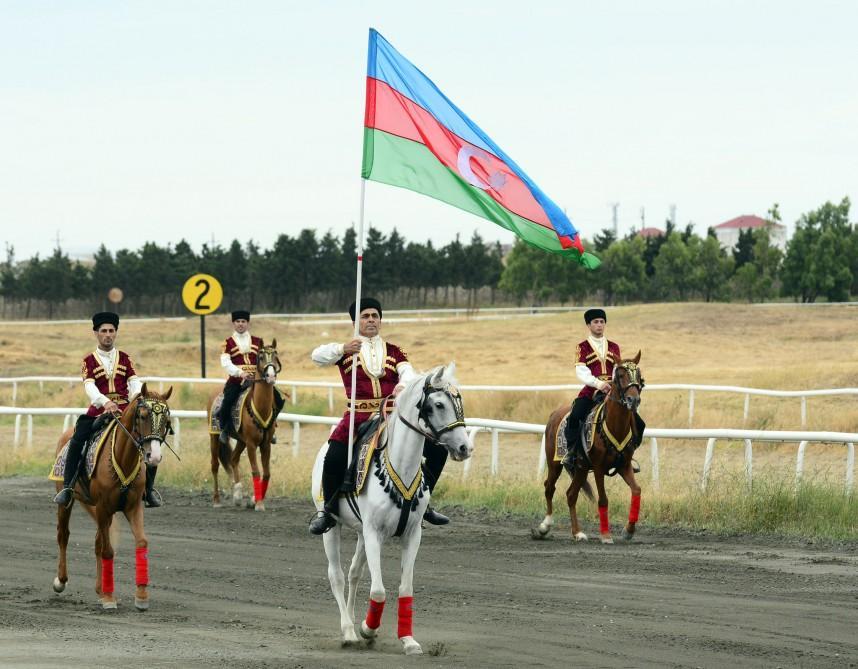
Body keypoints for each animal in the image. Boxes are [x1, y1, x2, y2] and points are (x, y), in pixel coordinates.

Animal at [51, 386, 172, 612]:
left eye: (166, 420)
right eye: (143, 416)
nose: (154, 456)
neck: (124, 458)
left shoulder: (133, 508)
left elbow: (141, 542)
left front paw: (141, 596)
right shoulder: (103, 508)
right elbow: (108, 550)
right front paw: (109, 598)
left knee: (97, 541)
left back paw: (100, 588)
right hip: (67, 502)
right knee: (63, 535)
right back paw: (61, 581)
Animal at [206, 342, 282, 508]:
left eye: (275, 355)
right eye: (261, 356)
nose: (270, 375)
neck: (260, 407)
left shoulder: (265, 444)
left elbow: (267, 473)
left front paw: (255, 499)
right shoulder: (252, 444)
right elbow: (256, 471)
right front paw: (258, 503)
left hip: (241, 441)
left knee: (233, 459)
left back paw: (238, 494)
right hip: (214, 437)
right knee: (214, 465)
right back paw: (216, 500)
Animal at [310, 362, 472, 656]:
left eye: (459, 401)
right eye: (438, 404)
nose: (465, 447)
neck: (401, 466)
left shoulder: (411, 535)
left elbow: (405, 587)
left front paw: (408, 639)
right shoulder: (375, 533)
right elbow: (378, 590)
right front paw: (368, 629)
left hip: (361, 533)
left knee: (354, 573)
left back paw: (353, 622)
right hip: (333, 527)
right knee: (336, 575)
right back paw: (348, 631)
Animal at [532, 350, 644, 544]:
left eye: (638, 375)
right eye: (620, 375)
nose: (633, 400)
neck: (614, 425)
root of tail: (554, 414)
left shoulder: (624, 466)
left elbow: (636, 490)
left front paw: (628, 530)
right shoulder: (599, 468)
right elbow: (603, 499)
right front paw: (606, 535)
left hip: (581, 468)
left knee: (571, 494)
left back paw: (577, 532)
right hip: (555, 464)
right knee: (549, 488)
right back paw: (544, 527)